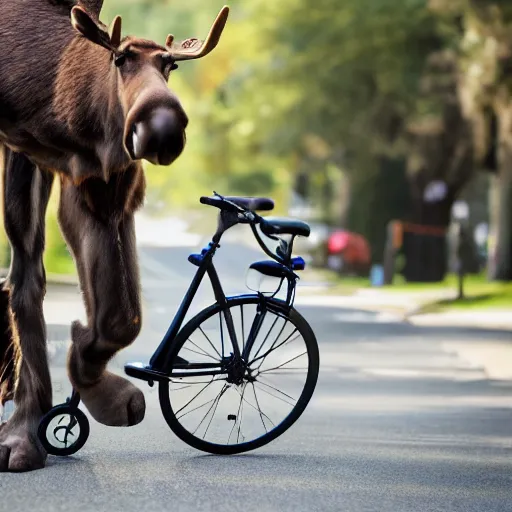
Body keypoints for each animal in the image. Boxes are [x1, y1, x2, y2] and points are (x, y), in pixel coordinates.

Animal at [0, 1, 230, 472]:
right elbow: (25, 278)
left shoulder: (100, 177)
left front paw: (101, 392)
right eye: (120, 60)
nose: (163, 128)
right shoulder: (23, 142)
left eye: (171, 64)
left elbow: (121, 317)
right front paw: (22, 434)